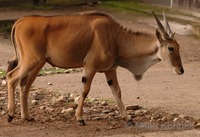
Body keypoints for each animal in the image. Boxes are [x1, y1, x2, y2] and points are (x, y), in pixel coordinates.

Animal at [6, 11, 184, 126]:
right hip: (31, 60)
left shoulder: (110, 70)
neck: (116, 37)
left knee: (24, 85)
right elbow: (85, 90)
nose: (181, 70)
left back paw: (27, 117)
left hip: (38, 63)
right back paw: (10, 114)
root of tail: (20, 21)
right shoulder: (90, 66)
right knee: (11, 77)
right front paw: (79, 118)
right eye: (170, 48)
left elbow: (117, 92)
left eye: (178, 47)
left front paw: (127, 118)